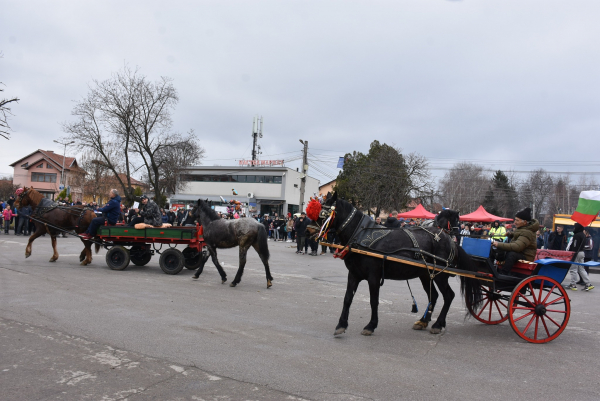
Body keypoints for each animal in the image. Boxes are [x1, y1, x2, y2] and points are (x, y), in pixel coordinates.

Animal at [312, 192, 480, 336]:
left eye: (324, 214)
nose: (311, 231)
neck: (360, 235)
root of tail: (449, 240)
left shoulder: (373, 277)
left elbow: (374, 301)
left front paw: (371, 325)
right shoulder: (353, 274)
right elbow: (347, 299)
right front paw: (341, 325)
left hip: (440, 276)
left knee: (448, 296)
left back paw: (438, 324)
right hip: (426, 275)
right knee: (435, 296)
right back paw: (424, 321)